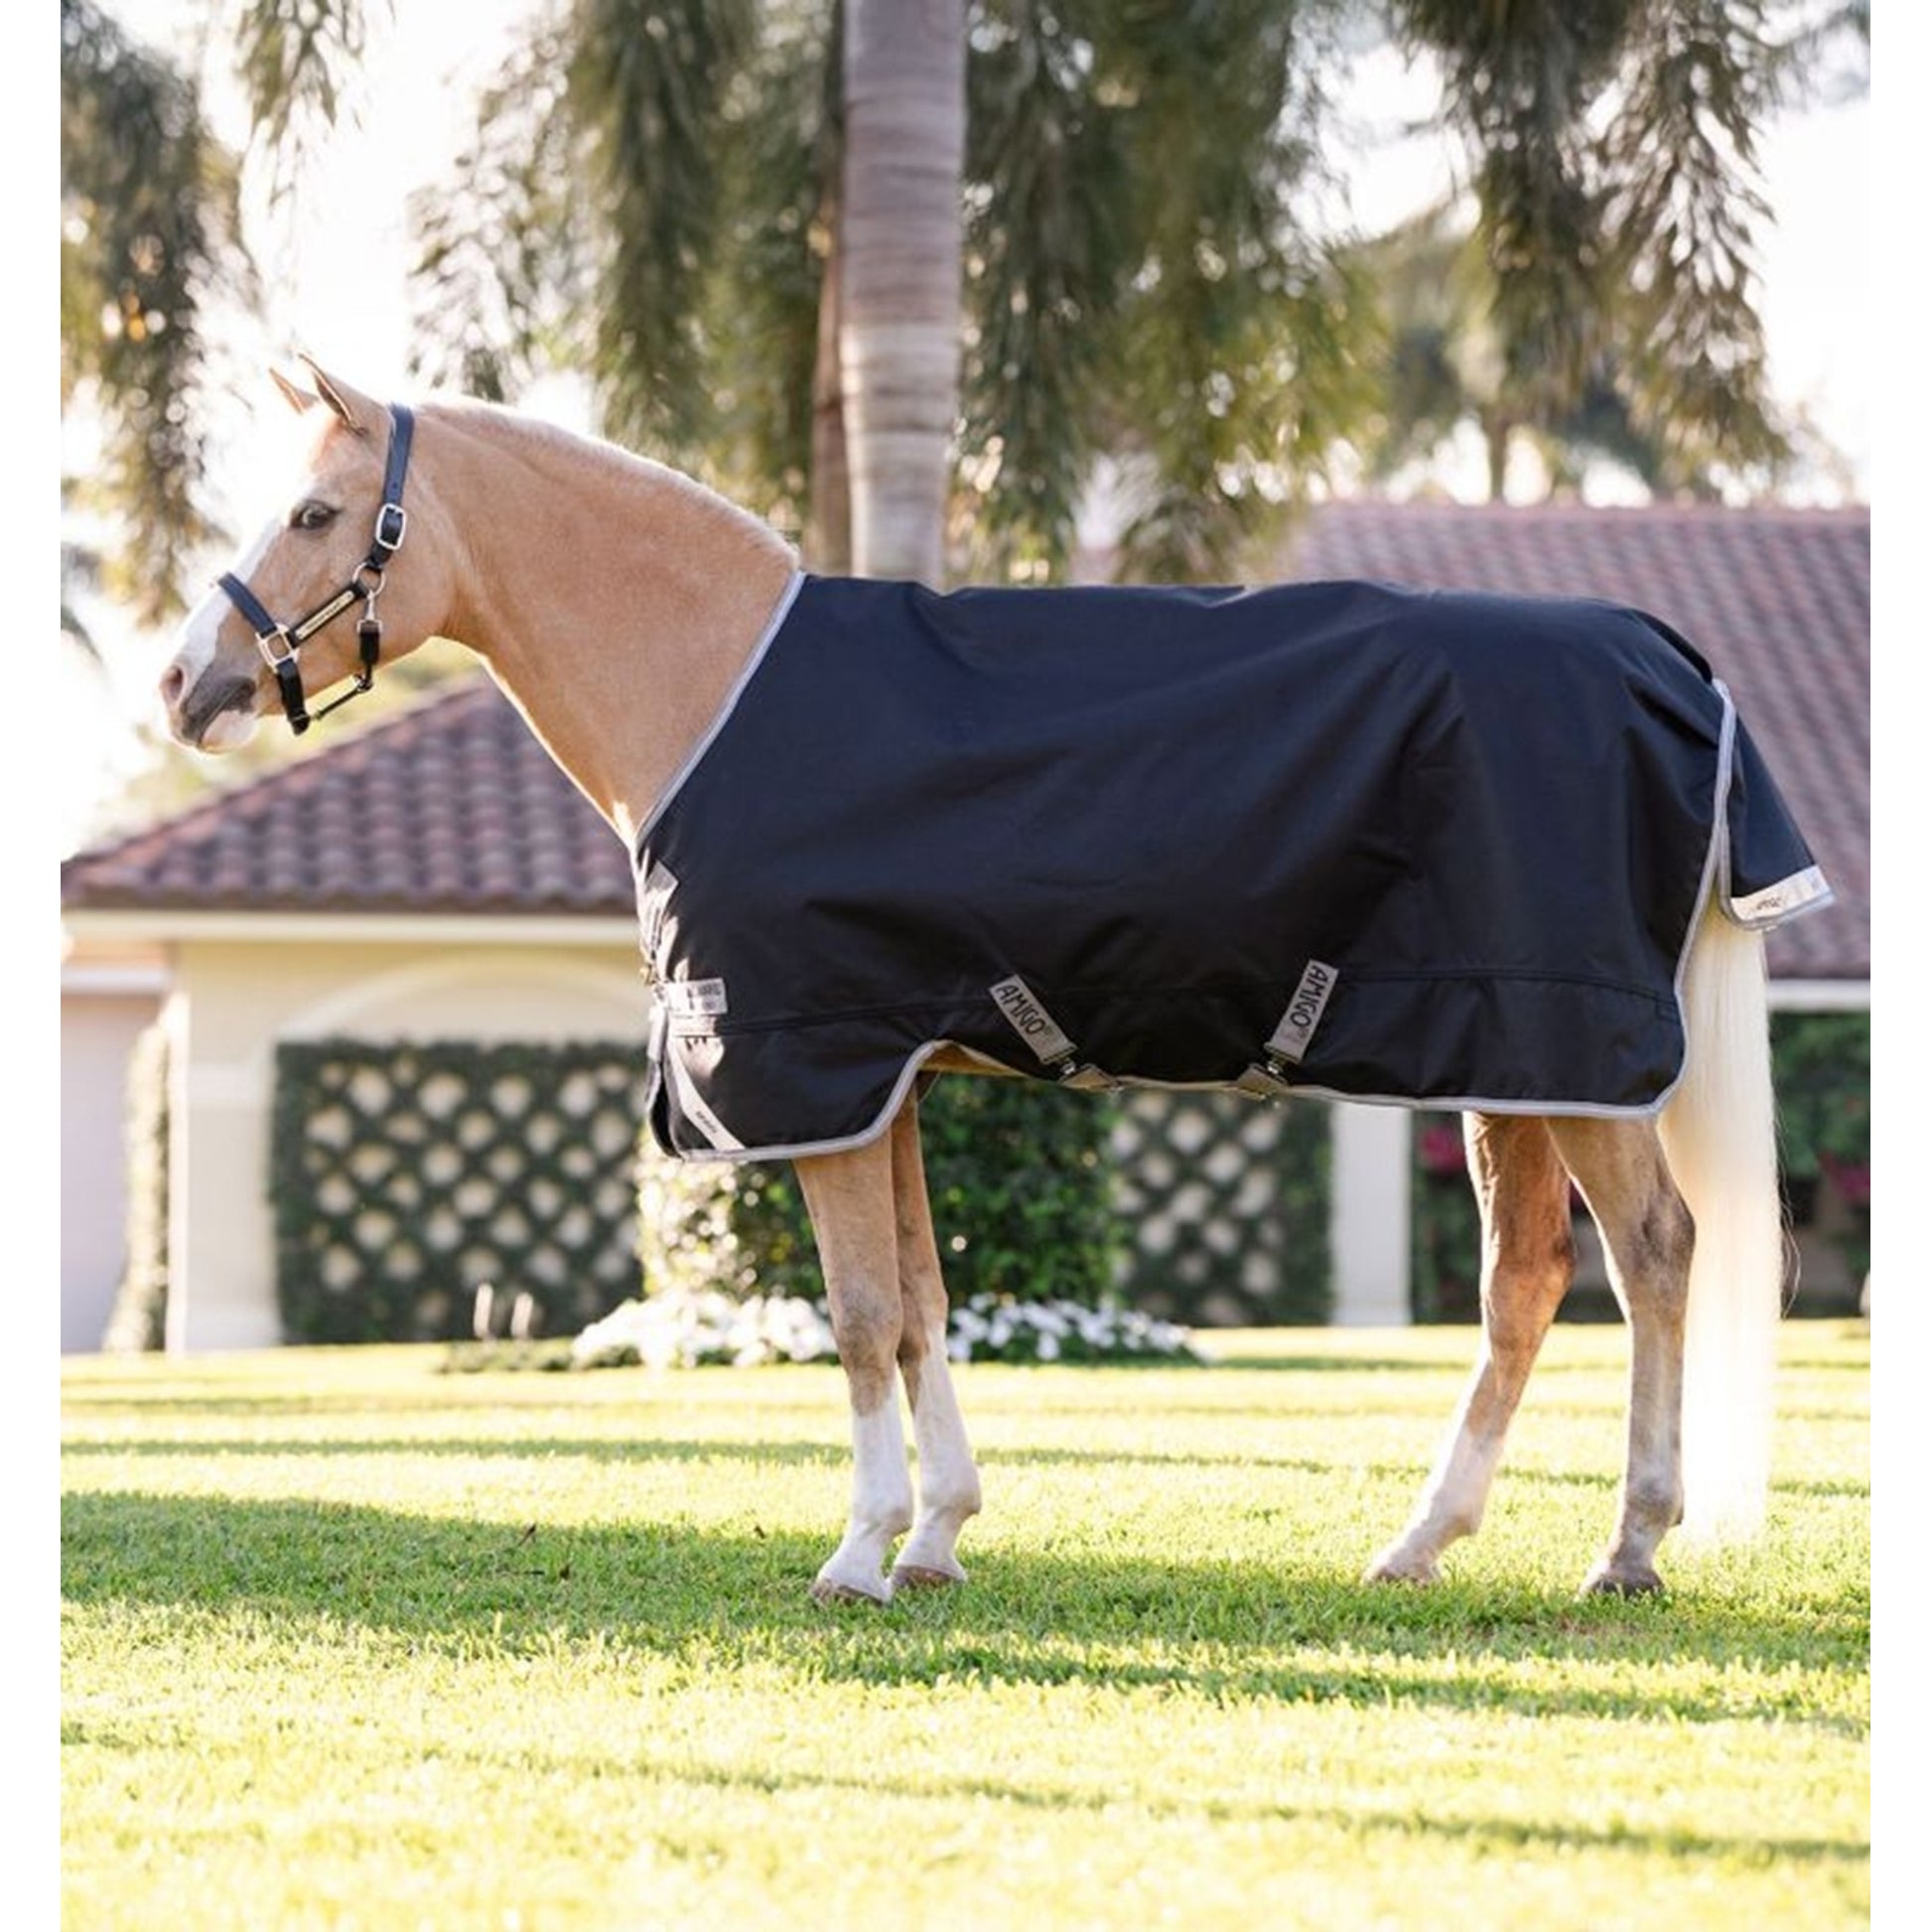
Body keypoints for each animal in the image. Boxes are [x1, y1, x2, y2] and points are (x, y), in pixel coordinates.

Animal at [160, 359, 1820, 1603]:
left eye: (315, 510)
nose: (184, 686)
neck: (714, 684)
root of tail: (1669, 661)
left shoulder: (811, 1071)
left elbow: (852, 1314)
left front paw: (855, 1553)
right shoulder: (879, 1073)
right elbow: (920, 1302)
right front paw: (940, 1533)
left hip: (1575, 1057)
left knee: (1653, 1254)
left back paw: (1626, 1548)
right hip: (1509, 1054)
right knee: (1521, 1282)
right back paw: (1420, 1543)